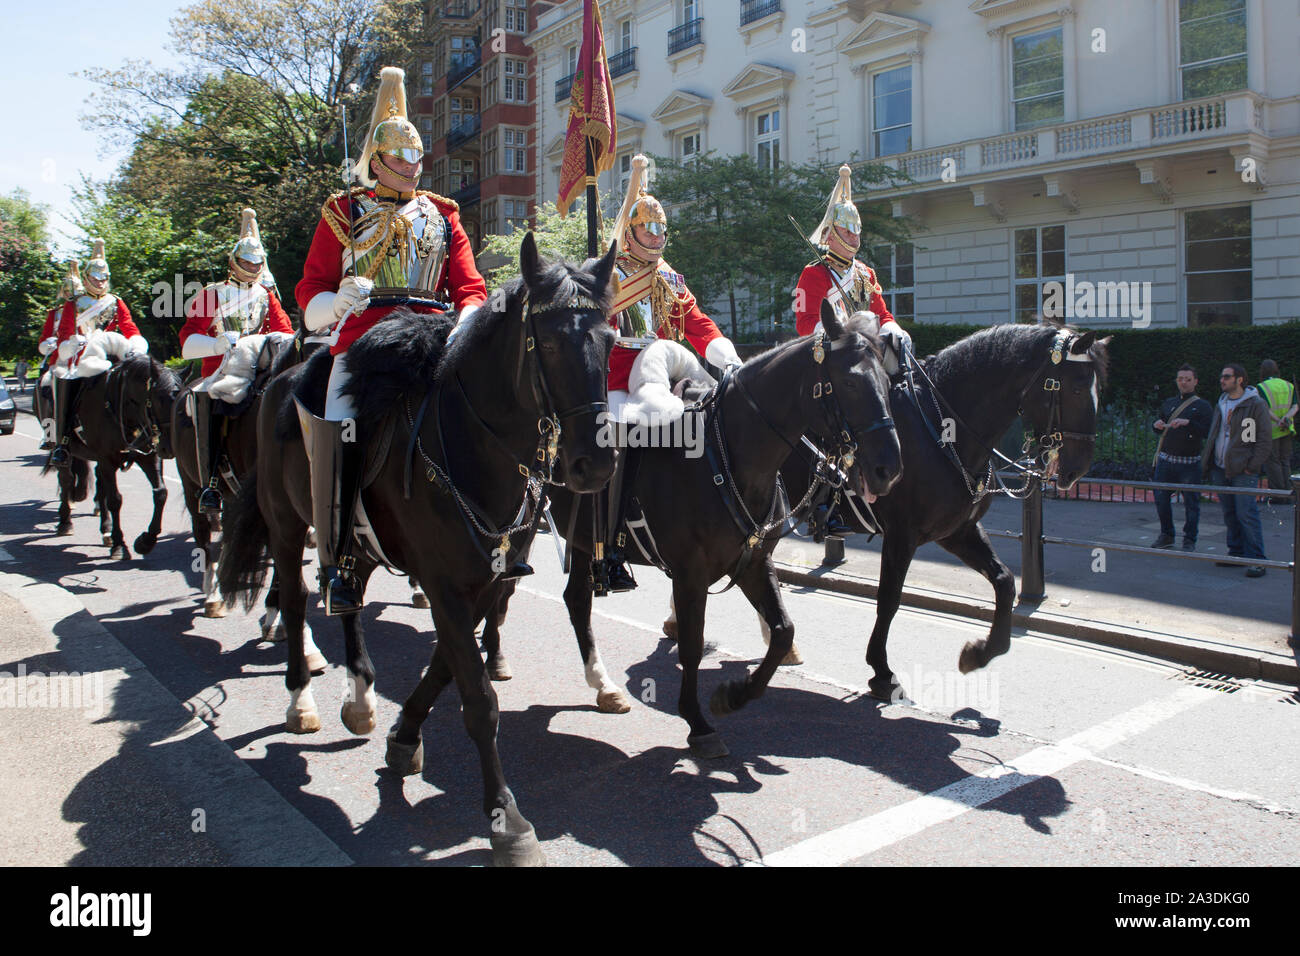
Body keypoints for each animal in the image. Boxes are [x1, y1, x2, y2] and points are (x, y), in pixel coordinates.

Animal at [40, 356, 180, 556]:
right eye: (160, 399)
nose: (168, 447)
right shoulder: (107, 459)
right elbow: (115, 499)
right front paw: (120, 544)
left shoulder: (148, 457)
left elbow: (160, 493)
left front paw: (146, 541)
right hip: (67, 451)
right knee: (66, 479)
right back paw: (66, 522)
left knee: (99, 485)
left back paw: (105, 529)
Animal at [219, 231, 618, 868]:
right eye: (551, 342)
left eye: (609, 342)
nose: (594, 466)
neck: (473, 442)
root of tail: (280, 379)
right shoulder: (444, 583)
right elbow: (478, 700)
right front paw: (507, 822)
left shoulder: (483, 580)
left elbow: (449, 666)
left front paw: (404, 735)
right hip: (285, 525)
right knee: (298, 598)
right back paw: (301, 701)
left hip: (351, 542)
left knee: (348, 596)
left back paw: (360, 697)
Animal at [483, 299, 899, 764]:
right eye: (849, 381)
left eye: (888, 380)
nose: (889, 468)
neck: (726, 453)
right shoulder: (690, 574)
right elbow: (693, 643)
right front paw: (697, 721)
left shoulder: (753, 562)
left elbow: (782, 631)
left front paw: (733, 696)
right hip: (518, 529)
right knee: (501, 587)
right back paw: (494, 659)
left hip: (581, 541)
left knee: (576, 601)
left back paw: (603, 686)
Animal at [774, 317, 1112, 697]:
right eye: (1077, 387)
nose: (1078, 469)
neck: (942, 433)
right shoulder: (901, 536)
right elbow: (889, 599)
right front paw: (881, 670)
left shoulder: (957, 531)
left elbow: (1005, 581)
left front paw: (980, 653)